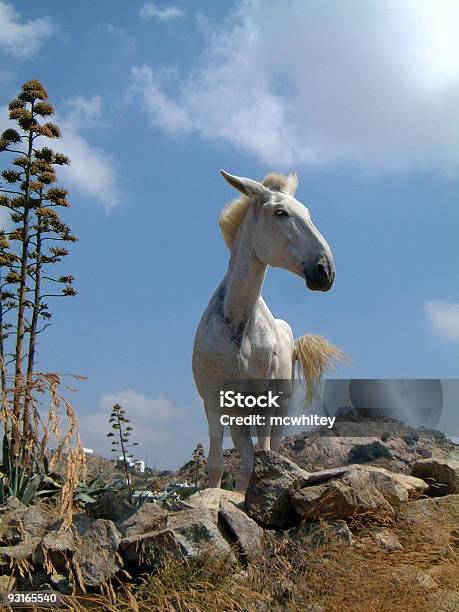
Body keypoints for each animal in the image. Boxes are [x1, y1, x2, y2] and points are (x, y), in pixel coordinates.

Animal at [193, 171, 342, 488]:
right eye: (280, 212)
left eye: (308, 213)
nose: (326, 271)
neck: (238, 327)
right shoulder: (213, 401)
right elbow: (219, 464)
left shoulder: (265, 401)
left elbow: (260, 457)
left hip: (279, 406)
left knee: (271, 447)